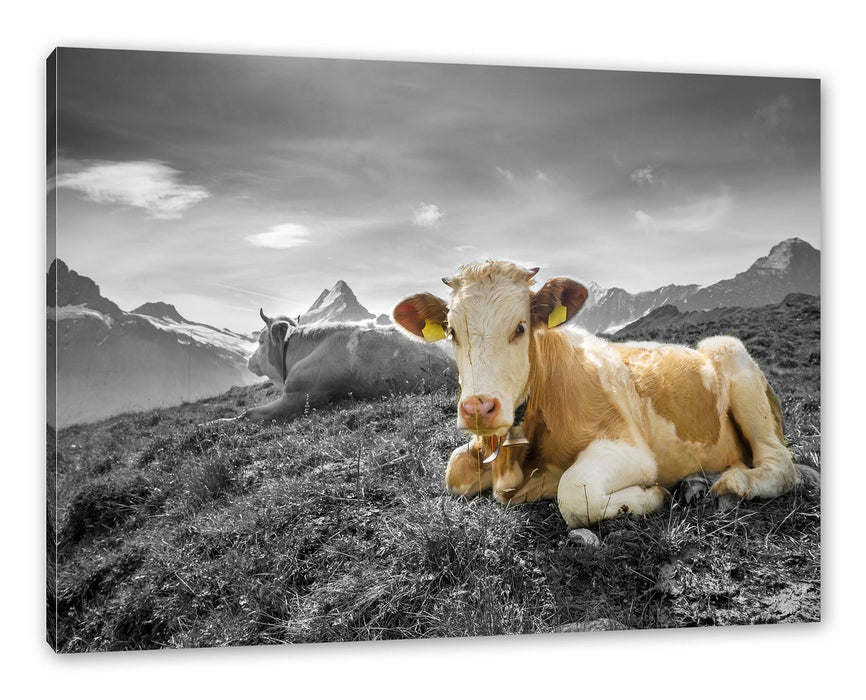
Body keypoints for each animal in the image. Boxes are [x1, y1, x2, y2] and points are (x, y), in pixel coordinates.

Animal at [393, 260, 803, 529]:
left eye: (521, 327)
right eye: (451, 331)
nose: (479, 408)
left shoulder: (631, 449)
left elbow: (574, 494)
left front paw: (650, 496)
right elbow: (454, 470)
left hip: (733, 357)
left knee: (781, 464)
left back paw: (732, 483)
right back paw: (695, 484)